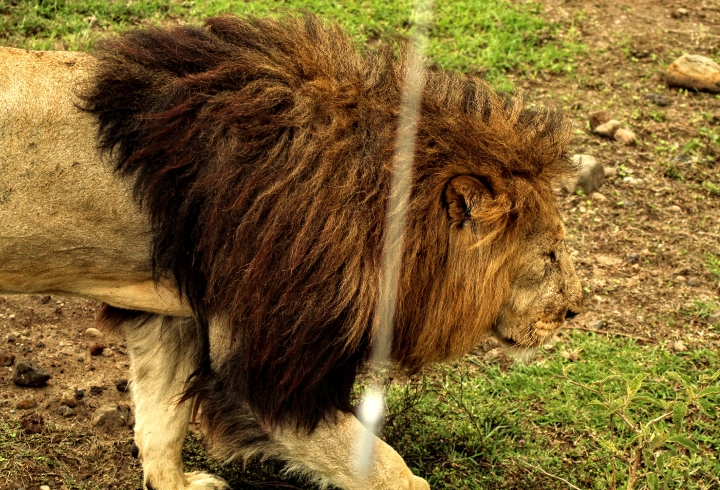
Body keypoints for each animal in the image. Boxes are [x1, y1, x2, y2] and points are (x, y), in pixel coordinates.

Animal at [0, 14, 584, 490]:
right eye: (550, 256)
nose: (575, 311)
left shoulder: (171, 310)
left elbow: (161, 417)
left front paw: (175, 483)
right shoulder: (263, 365)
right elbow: (379, 466)